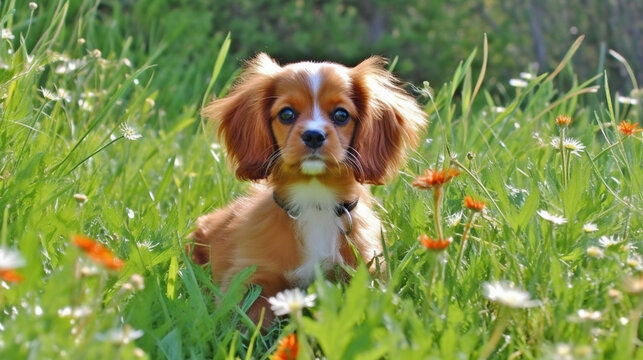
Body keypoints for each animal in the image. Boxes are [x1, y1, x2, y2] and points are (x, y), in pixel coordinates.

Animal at [189, 54, 428, 326]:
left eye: (341, 115)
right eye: (287, 113)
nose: (314, 135)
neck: (315, 204)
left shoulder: (366, 273)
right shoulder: (250, 278)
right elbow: (252, 318)